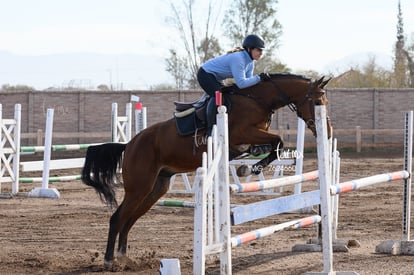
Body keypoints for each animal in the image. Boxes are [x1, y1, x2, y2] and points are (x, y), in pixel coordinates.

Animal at [82, 73, 332, 266]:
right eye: (317, 102)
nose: (328, 132)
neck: (258, 99)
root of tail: (129, 144)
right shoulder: (242, 133)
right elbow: (277, 141)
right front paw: (250, 168)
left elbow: (272, 145)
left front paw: (247, 166)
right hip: (139, 187)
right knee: (118, 218)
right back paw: (109, 260)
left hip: (156, 188)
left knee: (129, 219)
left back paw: (124, 258)